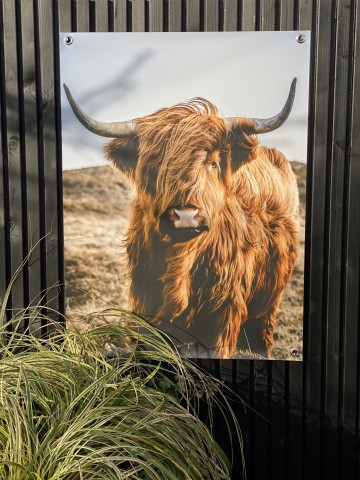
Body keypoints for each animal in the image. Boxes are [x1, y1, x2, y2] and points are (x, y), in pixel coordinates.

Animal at [64, 79, 298, 358]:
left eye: (213, 163)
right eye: (153, 167)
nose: (185, 215)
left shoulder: (224, 315)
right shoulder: (144, 303)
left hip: (268, 303)